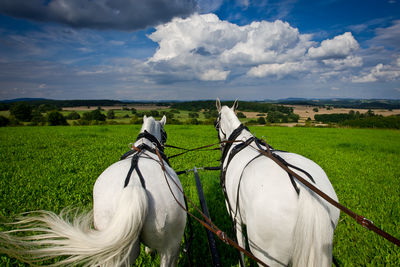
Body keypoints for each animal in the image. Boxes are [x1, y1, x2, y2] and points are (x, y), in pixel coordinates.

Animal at [216, 99, 340, 266]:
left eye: (216, 124)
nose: (221, 147)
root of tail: (306, 189)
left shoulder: (235, 216)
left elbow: (240, 247)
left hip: (267, 253)